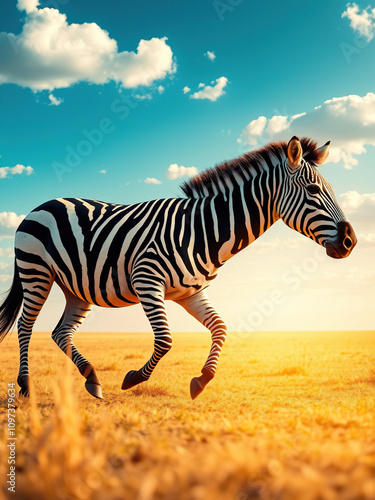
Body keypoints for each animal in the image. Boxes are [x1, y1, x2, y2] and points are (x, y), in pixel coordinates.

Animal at [0, 136, 358, 398]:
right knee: (25, 327)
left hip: (77, 286)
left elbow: (220, 328)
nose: (350, 241)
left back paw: (92, 379)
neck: (205, 230)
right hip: (36, 273)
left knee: (60, 332)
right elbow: (165, 340)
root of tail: (40, 206)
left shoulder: (191, 292)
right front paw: (133, 378)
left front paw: (202, 379)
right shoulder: (147, 279)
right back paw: (26, 386)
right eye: (313, 190)